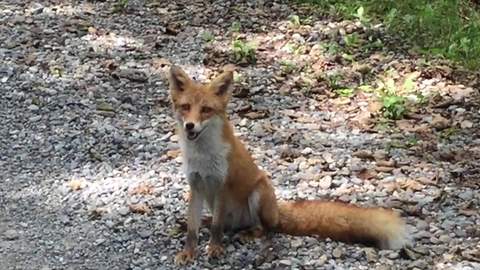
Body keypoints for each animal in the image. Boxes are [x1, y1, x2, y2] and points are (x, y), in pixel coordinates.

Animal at [166, 65, 408, 264]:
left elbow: (217, 229)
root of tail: (277, 210)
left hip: (259, 192)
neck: (203, 157)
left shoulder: (222, 185)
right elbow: (192, 229)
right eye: (186, 107)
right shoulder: (196, 185)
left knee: (263, 228)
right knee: (224, 224)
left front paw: (215, 248)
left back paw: (249, 234)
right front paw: (188, 252)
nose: (190, 126)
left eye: (206, 110)